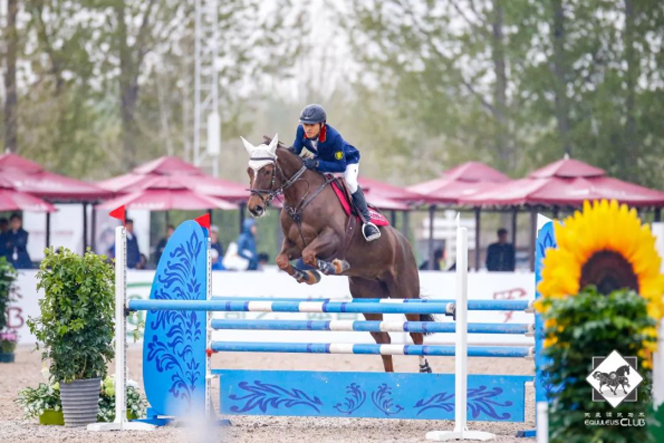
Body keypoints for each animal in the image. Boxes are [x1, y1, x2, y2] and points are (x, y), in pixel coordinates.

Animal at [241, 135, 434, 374]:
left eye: (267, 171)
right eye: (249, 171)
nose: (255, 208)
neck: (301, 198)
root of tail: (404, 242)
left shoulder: (332, 238)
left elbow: (309, 255)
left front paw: (331, 267)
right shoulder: (293, 244)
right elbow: (283, 260)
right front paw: (307, 276)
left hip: (404, 291)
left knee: (415, 333)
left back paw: (424, 369)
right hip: (367, 297)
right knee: (384, 340)